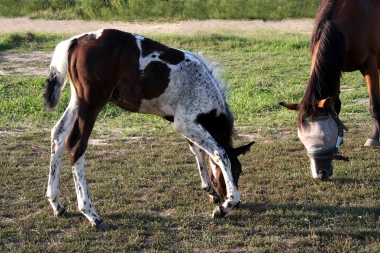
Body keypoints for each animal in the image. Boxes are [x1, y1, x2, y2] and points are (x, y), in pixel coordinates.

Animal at [43, 28, 252, 230]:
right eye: (238, 170)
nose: (238, 206)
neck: (203, 85)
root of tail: (76, 41)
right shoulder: (186, 123)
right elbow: (219, 153)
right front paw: (226, 205)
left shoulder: (188, 124)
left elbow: (197, 150)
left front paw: (210, 191)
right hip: (92, 103)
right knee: (76, 145)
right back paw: (92, 215)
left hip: (77, 100)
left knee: (58, 135)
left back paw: (57, 204)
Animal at [280, 0, 380, 180]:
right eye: (301, 138)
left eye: (325, 135)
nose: (320, 174)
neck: (355, 17)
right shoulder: (336, 67)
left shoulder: (370, 65)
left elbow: (374, 107)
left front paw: (374, 138)